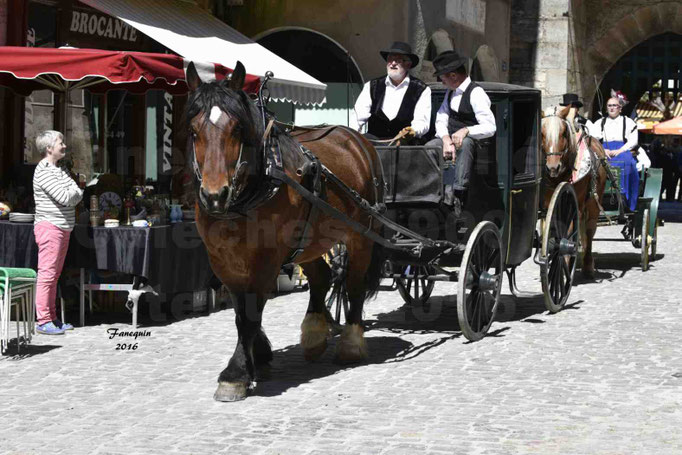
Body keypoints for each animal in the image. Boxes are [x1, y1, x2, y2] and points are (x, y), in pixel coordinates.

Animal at [186, 62, 382, 400]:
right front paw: (259, 357)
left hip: (360, 236)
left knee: (354, 285)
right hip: (309, 241)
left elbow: (251, 312)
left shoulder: (267, 258)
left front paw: (236, 373)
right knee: (322, 278)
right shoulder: (223, 260)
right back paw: (314, 335)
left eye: (237, 129)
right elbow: (240, 311)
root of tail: (356, 139)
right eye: (194, 131)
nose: (214, 195)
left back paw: (351, 344)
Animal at [540, 105, 604, 280]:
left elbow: (568, 231)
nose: (552, 167)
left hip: (593, 204)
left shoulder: (573, 205)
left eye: (563, 133)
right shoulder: (548, 205)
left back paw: (587, 265)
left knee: (589, 230)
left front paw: (565, 262)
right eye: (542, 133)